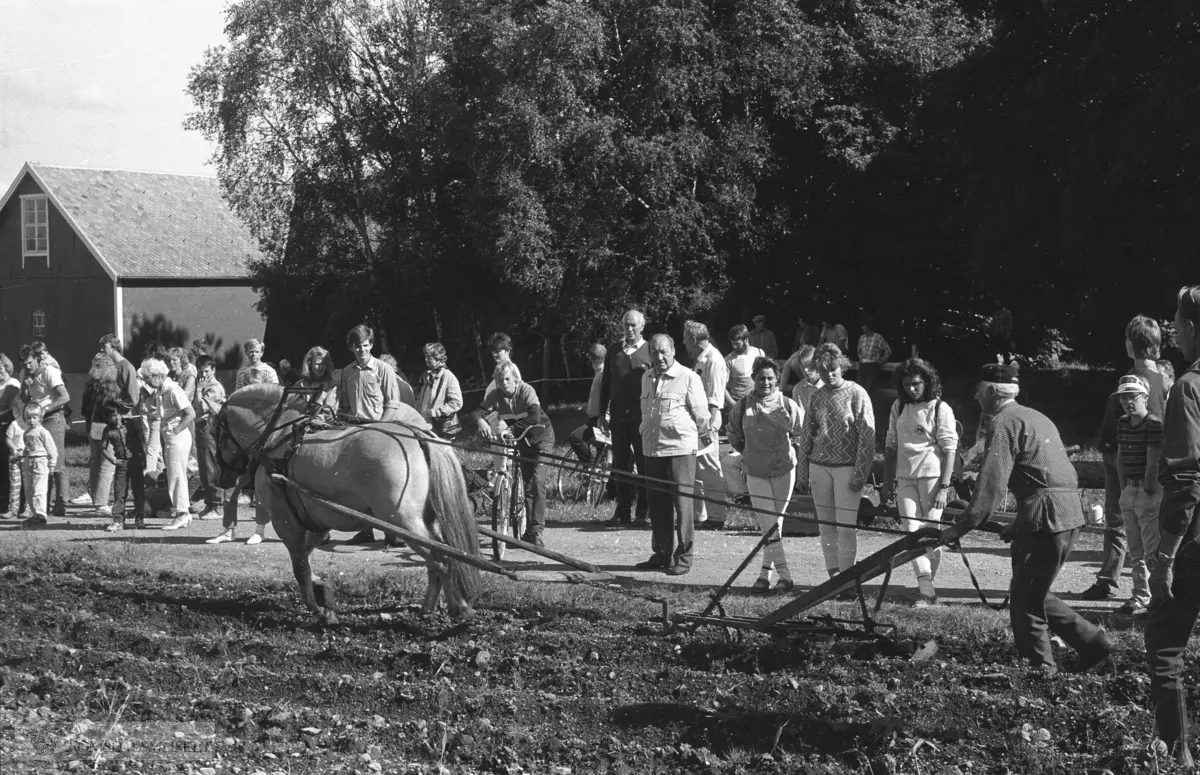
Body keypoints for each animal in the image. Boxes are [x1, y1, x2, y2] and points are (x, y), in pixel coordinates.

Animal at [216, 386, 482, 628]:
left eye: (217, 430)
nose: (222, 479)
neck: (278, 438)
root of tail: (415, 433)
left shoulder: (286, 523)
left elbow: (300, 567)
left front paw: (316, 609)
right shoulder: (316, 523)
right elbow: (306, 559)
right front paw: (323, 592)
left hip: (402, 520)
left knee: (441, 559)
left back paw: (459, 608)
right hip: (422, 520)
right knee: (436, 559)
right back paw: (429, 608)